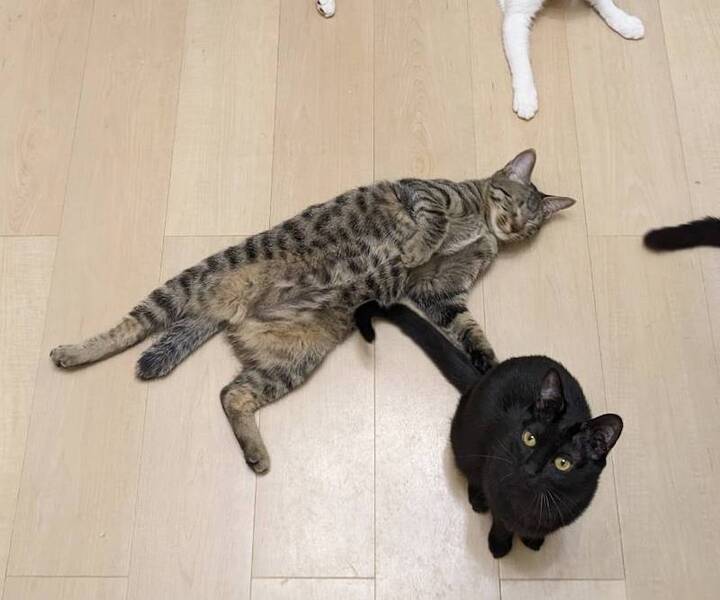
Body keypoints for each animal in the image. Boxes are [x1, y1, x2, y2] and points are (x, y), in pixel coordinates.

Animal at [50, 148, 574, 475]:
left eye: (532, 221)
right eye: (514, 200)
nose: (515, 226)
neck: (483, 229)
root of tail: (228, 313)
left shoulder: (441, 294)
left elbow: (468, 329)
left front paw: (486, 361)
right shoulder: (424, 195)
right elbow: (435, 221)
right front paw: (418, 245)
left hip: (289, 363)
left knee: (231, 395)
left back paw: (256, 452)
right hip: (185, 286)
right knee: (131, 326)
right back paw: (72, 353)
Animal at [354, 300, 623, 557]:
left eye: (563, 463)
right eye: (529, 439)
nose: (529, 468)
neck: (532, 503)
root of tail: (481, 378)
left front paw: (533, 540)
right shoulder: (496, 483)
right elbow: (501, 521)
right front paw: (499, 545)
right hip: (466, 440)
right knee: (471, 470)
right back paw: (477, 500)